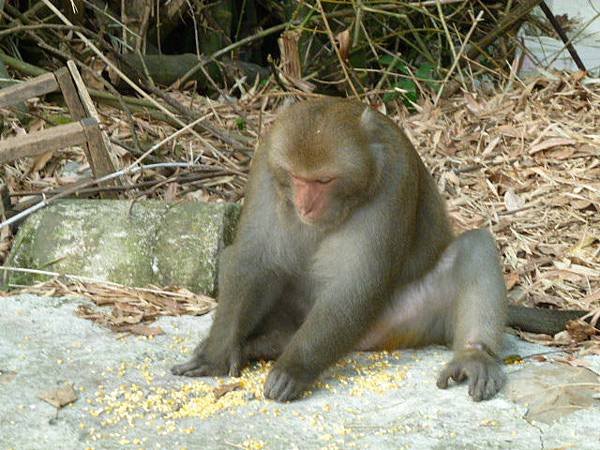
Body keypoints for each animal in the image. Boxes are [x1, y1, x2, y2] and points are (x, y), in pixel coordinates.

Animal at [171, 96, 588, 402]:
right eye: (295, 177)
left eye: (324, 181)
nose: (305, 206)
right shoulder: (264, 166)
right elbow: (254, 260)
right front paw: (215, 353)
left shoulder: (394, 179)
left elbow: (358, 283)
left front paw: (294, 369)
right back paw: (258, 344)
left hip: (405, 323)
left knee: (475, 246)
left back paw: (473, 355)